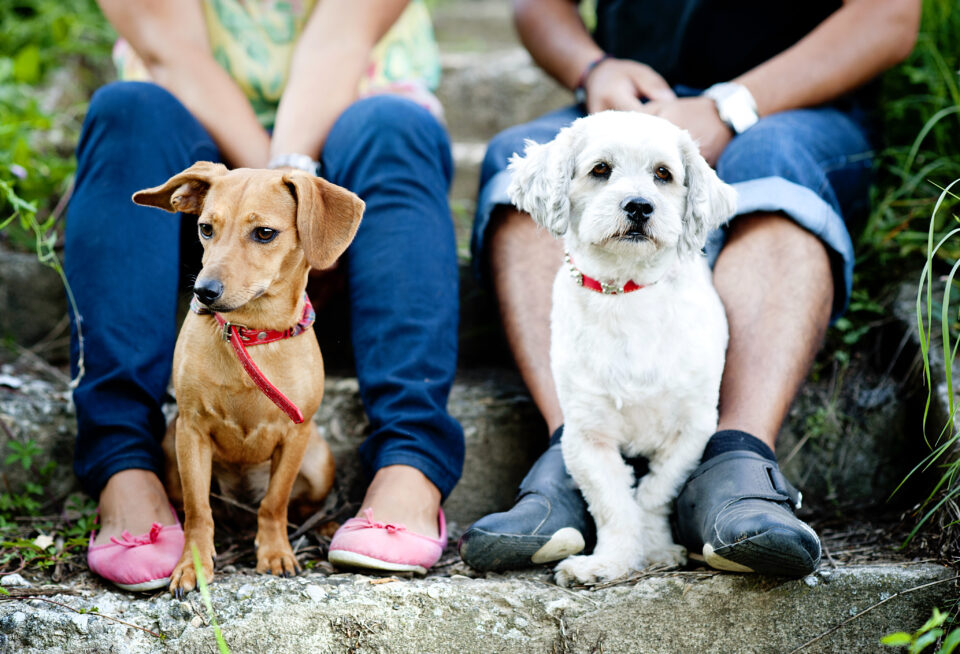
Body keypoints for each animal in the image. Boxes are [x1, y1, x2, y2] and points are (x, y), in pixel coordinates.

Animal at [131, 161, 364, 596]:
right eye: (205, 228)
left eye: (265, 233)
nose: (204, 291)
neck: (250, 332)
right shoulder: (191, 432)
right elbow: (198, 510)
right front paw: (193, 565)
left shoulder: (295, 435)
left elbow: (275, 503)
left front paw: (275, 552)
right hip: (169, 451)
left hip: (318, 463)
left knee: (295, 505)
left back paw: (323, 525)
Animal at [510, 110, 736, 588]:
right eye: (600, 169)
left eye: (663, 174)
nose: (639, 205)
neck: (626, 292)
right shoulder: (587, 435)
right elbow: (613, 502)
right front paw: (609, 562)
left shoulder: (692, 428)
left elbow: (653, 493)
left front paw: (655, 550)